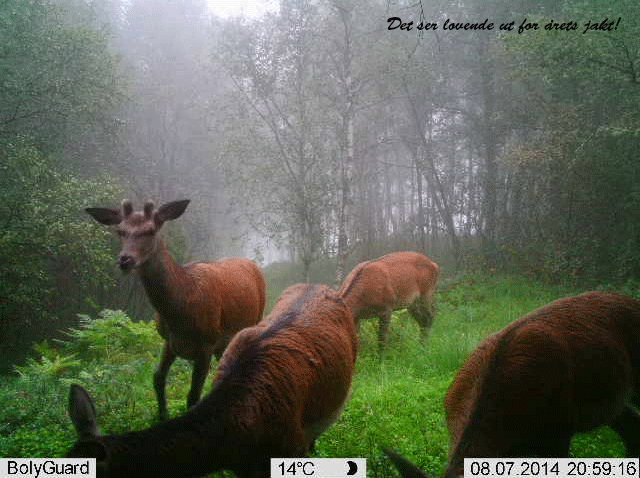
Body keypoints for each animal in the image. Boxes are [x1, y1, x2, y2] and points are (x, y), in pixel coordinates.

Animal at [85, 200, 264, 420]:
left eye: (151, 230)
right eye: (120, 231)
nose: (125, 259)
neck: (180, 314)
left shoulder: (208, 342)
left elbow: (193, 395)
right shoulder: (169, 341)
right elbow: (157, 378)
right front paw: (162, 415)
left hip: (257, 317)